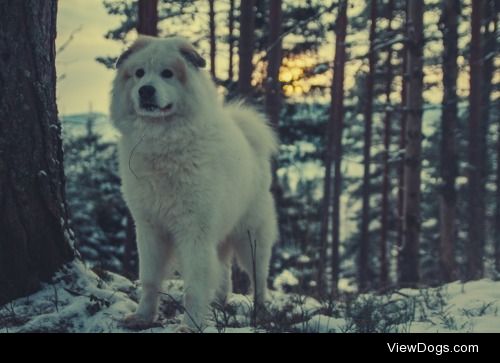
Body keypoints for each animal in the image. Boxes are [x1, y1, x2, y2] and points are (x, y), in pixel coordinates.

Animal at [110, 36, 280, 330]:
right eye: (139, 73)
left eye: (167, 73)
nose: (145, 91)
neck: (163, 144)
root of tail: (251, 143)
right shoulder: (149, 228)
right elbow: (150, 279)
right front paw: (143, 317)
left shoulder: (195, 231)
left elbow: (195, 285)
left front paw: (189, 325)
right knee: (224, 271)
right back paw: (219, 304)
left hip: (251, 237)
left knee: (258, 278)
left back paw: (260, 313)